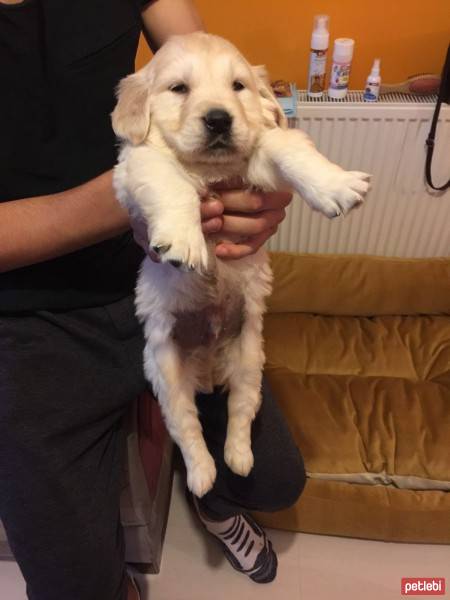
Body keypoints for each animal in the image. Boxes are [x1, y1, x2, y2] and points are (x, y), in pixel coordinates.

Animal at [111, 31, 370, 496]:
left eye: (238, 87)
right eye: (179, 89)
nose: (219, 120)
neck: (209, 172)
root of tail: (206, 372)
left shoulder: (259, 162)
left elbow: (284, 144)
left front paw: (336, 185)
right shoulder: (134, 165)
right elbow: (169, 178)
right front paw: (184, 240)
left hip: (250, 360)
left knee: (241, 410)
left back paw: (239, 458)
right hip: (164, 372)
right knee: (186, 425)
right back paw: (202, 475)